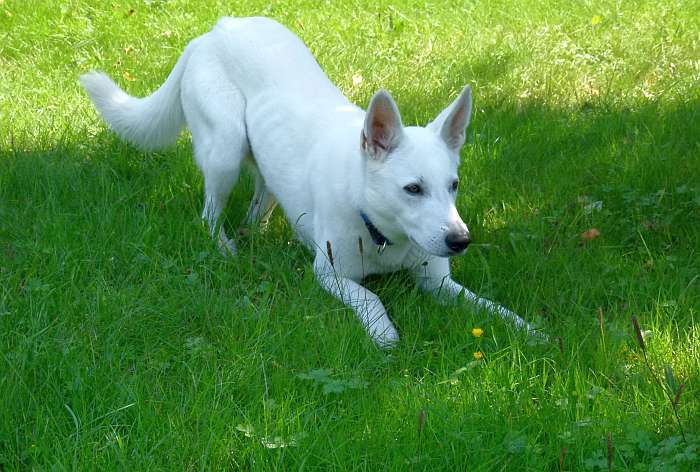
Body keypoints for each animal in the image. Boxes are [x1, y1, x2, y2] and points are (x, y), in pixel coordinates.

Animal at [83, 16, 540, 346]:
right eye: (413, 189)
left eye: (453, 185)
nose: (461, 240)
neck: (378, 228)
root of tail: (216, 31)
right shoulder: (330, 274)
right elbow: (371, 297)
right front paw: (384, 334)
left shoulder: (440, 283)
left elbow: (490, 307)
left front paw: (529, 330)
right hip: (225, 150)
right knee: (210, 213)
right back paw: (226, 246)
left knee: (261, 199)